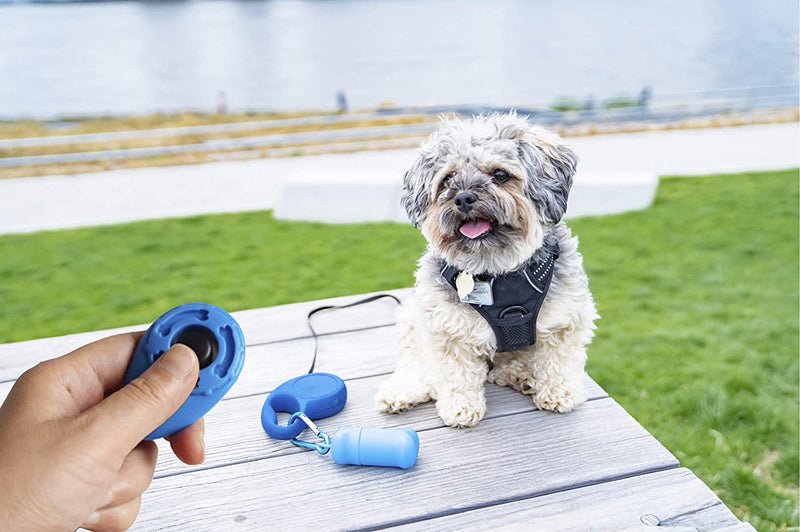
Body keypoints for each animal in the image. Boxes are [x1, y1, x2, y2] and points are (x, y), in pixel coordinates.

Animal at [374, 112, 592, 428]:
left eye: (500, 175)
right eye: (448, 179)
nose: (464, 198)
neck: (497, 270)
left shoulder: (566, 319)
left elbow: (559, 360)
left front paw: (559, 392)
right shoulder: (445, 328)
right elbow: (456, 373)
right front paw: (460, 407)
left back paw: (521, 375)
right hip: (412, 317)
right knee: (416, 360)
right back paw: (402, 391)